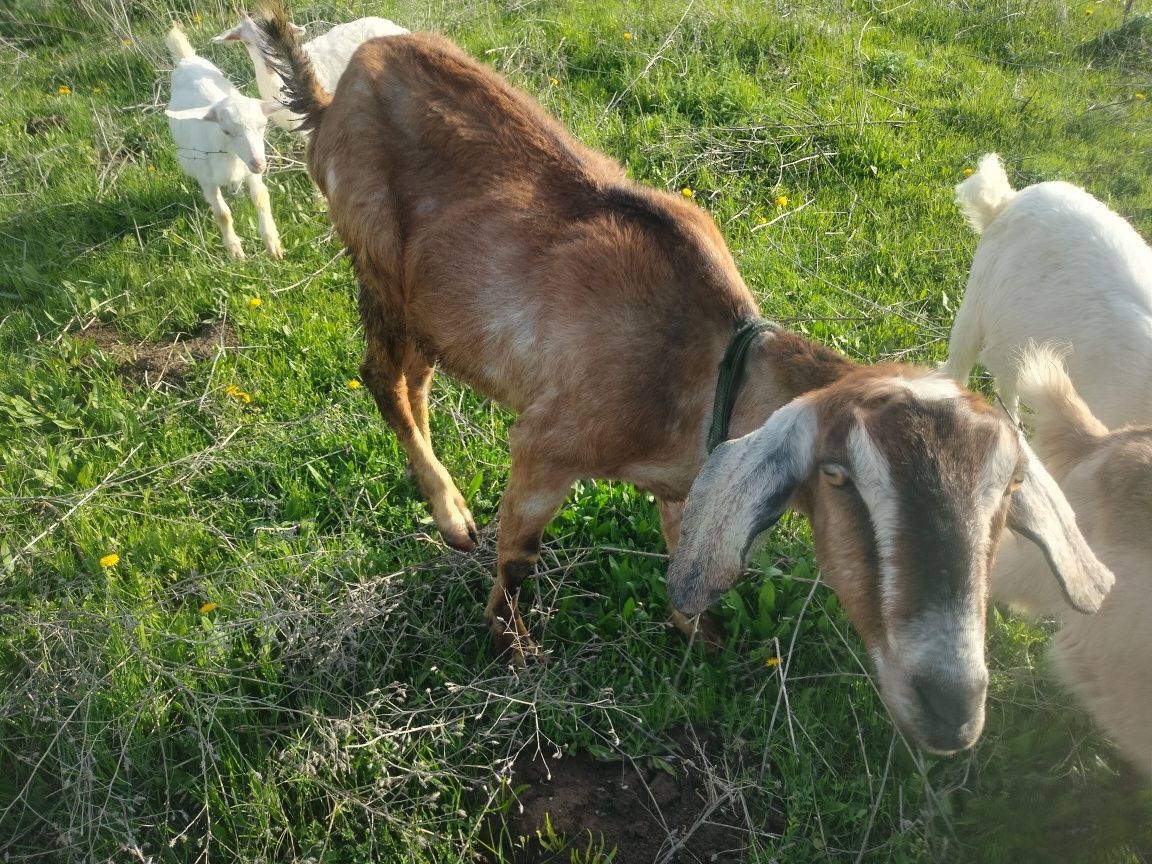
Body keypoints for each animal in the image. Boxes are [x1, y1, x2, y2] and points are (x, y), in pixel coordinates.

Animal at [164, 25, 283, 259]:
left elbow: (261, 197)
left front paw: (272, 243)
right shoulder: (206, 180)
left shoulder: (249, 170)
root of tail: (187, 58)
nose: (259, 164)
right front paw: (235, 251)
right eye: (226, 131)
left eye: (263, 125)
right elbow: (222, 214)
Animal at [254, 3, 1115, 755]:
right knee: (383, 379)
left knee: (413, 383)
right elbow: (520, 555)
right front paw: (514, 650)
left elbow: (681, 557)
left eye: (1007, 492)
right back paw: (453, 517)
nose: (950, 707)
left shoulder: (685, 480)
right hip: (381, 273)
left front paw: (704, 639)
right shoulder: (545, 444)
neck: (702, 369)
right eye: (839, 476)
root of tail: (331, 98)